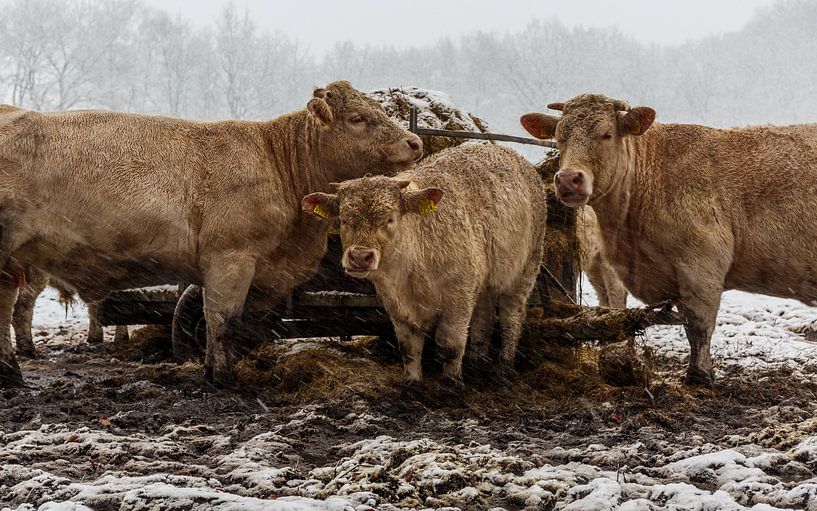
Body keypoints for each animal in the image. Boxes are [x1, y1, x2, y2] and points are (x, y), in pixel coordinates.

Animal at [0, 80, 420, 386]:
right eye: (357, 118)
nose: (414, 142)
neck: (277, 162)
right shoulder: (230, 259)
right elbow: (224, 320)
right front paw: (222, 376)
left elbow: (233, 321)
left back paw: (11, 373)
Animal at [302, 143, 548, 396]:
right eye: (343, 220)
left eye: (390, 219)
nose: (360, 257)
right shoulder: (396, 305)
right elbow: (408, 347)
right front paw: (412, 384)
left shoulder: (459, 296)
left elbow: (450, 344)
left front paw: (451, 384)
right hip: (486, 280)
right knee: (484, 316)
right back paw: (477, 361)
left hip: (526, 267)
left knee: (511, 317)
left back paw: (504, 367)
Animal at [524, 94, 816, 386]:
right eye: (559, 137)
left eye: (606, 134)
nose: (567, 179)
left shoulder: (701, 267)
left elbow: (698, 327)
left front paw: (699, 376)